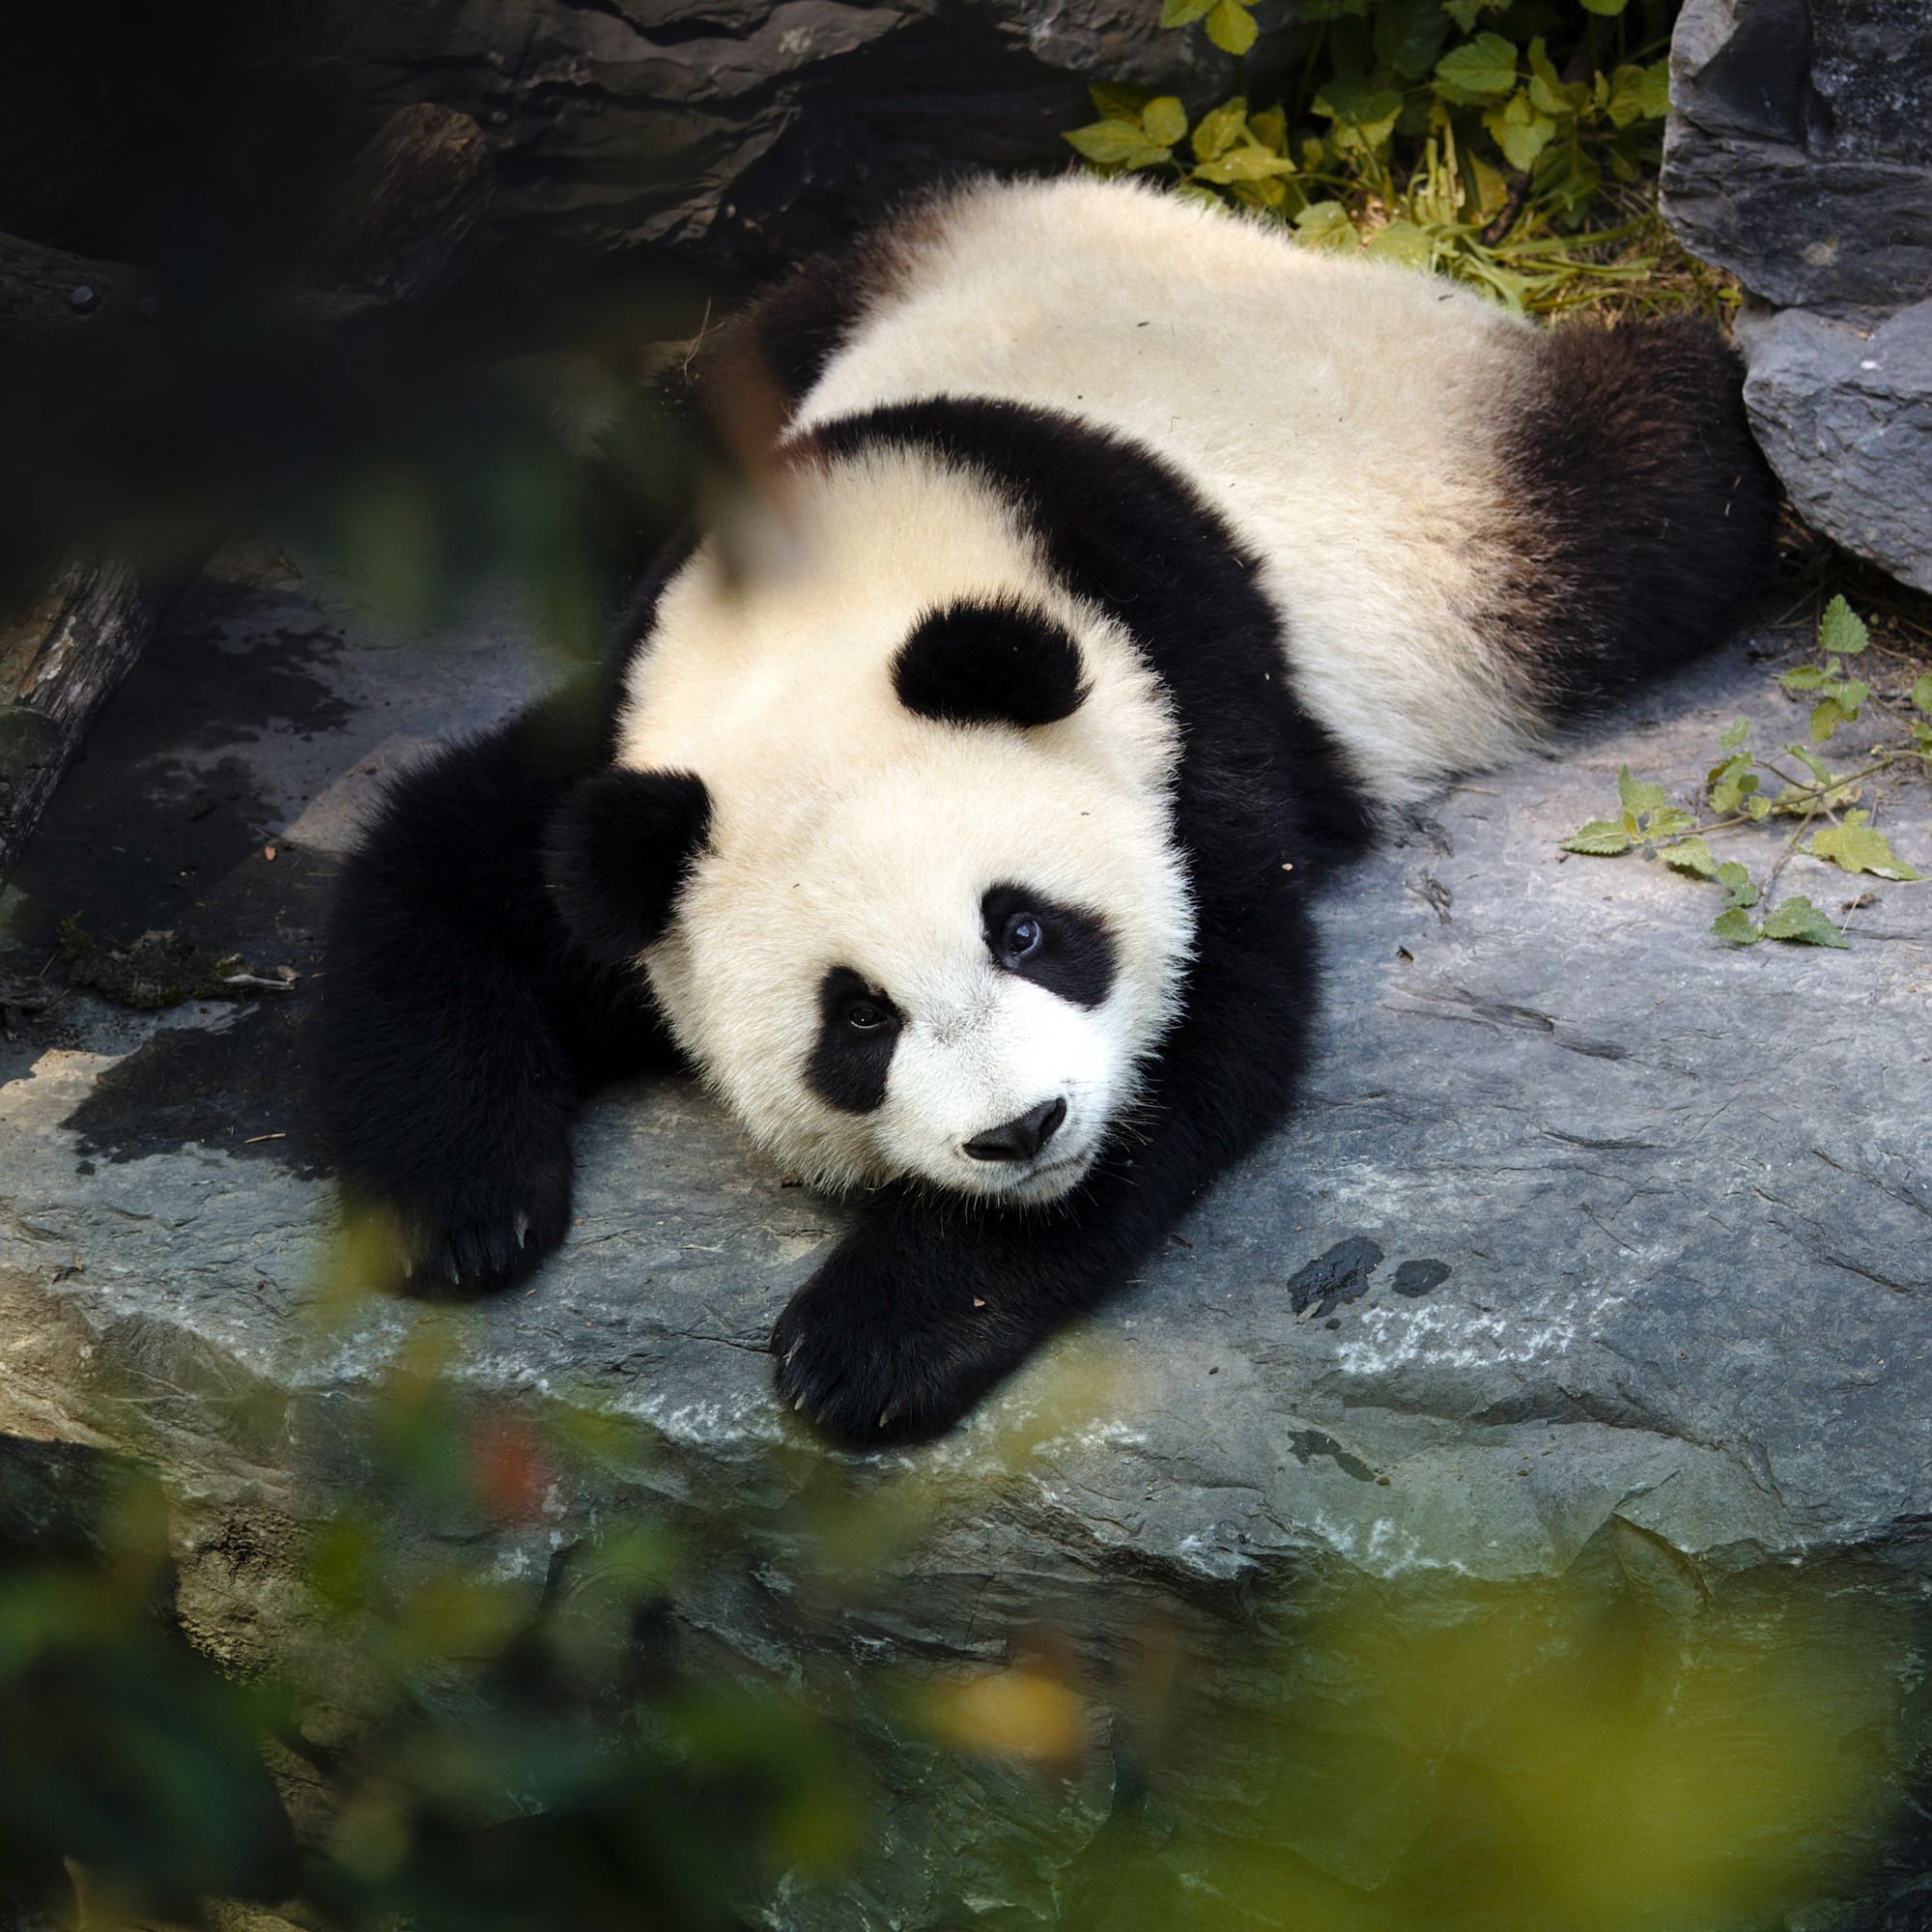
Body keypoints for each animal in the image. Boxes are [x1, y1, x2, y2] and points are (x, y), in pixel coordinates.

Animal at [318, 173, 1777, 1445]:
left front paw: (872, 1340)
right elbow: (442, 866)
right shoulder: (636, 734)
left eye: (1024, 931)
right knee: (642, 436)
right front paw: (461, 1209)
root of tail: (1261, 241)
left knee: (1662, 481)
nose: (1022, 1132)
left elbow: (1214, 1021)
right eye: (857, 1018)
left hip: (1486, 505)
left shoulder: (1183, 710)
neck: (847, 592)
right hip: (845, 289)